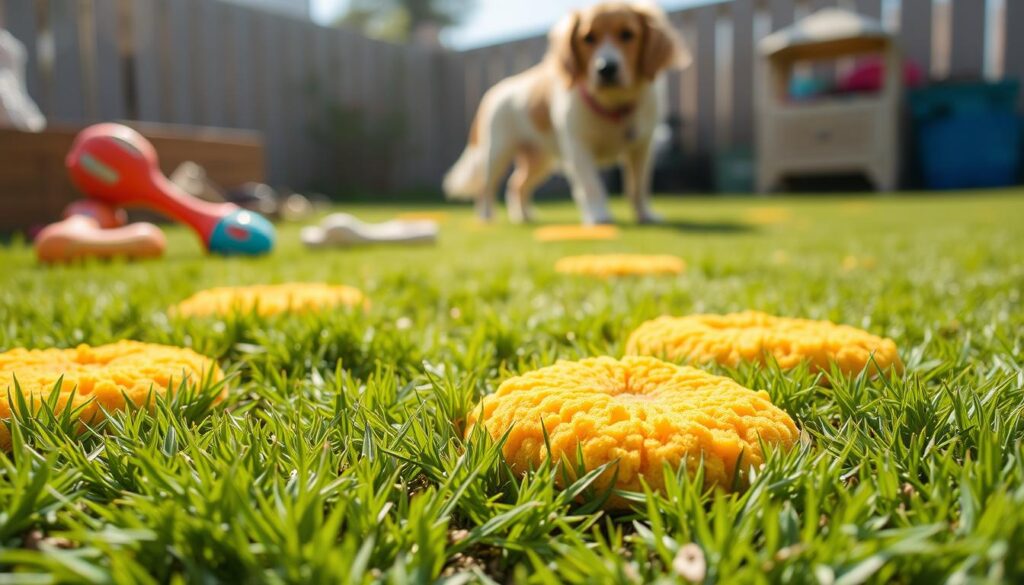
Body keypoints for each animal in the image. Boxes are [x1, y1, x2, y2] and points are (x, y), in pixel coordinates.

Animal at [444, 2, 692, 225]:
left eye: (627, 34)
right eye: (588, 38)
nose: (606, 68)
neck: (612, 103)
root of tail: (494, 91)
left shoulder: (642, 146)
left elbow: (639, 186)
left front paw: (645, 215)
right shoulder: (578, 147)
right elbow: (592, 185)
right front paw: (598, 216)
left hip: (540, 159)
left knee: (517, 184)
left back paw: (524, 215)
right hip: (497, 151)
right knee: (485, 186)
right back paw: (486, 216)